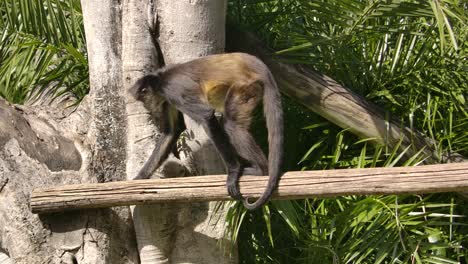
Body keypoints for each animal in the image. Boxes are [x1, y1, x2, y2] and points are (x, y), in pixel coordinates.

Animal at [132, 52, 284, 210]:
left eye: (143, 101)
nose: (146, 108)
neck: (161, 78)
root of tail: (254, 62)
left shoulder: (171, 90)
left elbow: (207, 116)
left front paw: (233, 173)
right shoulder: (166, 99)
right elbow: (171, 132)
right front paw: (139, 177)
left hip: (245, 86)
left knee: (231, 124)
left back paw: (261, 170)